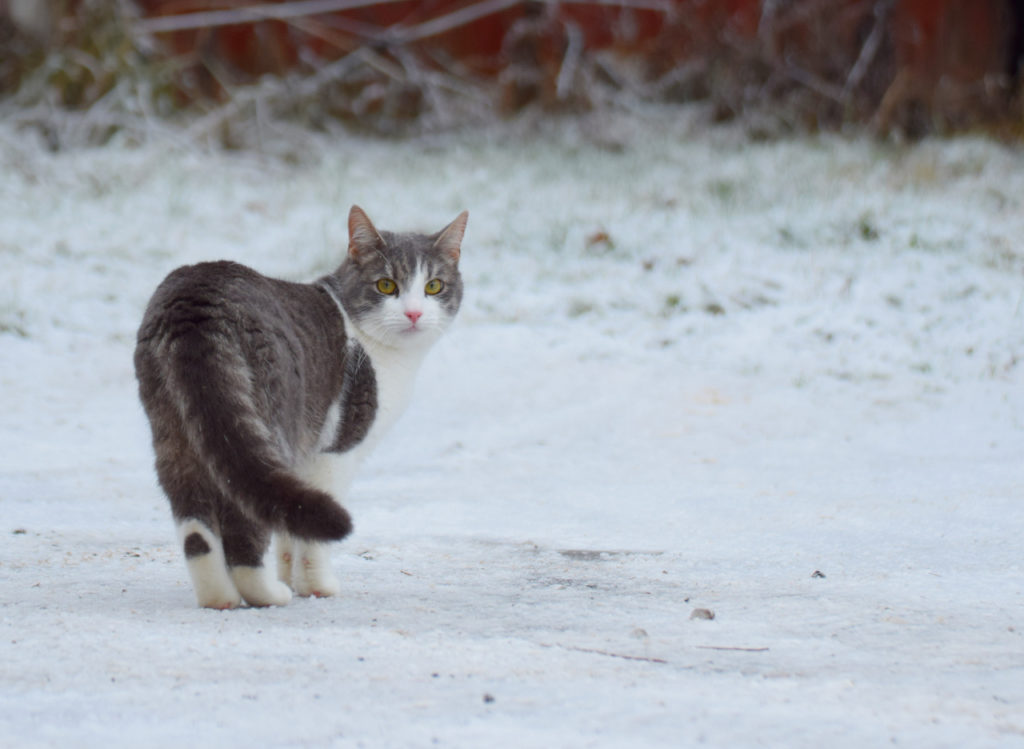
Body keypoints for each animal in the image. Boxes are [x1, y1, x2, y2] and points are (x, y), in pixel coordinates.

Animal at [133, 204, 468, 610]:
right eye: (386, 285)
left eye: (434, 286)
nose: (415, 314)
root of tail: (195, 304)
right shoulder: (334, 450)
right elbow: (311, 535)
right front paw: (315, 586)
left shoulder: (301, 462)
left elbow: (292, 520)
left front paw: (290, 576)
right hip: (271, 422)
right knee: (243, 515)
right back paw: (266, 593)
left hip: (174, 427)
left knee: (195, 521)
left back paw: (220, 598)